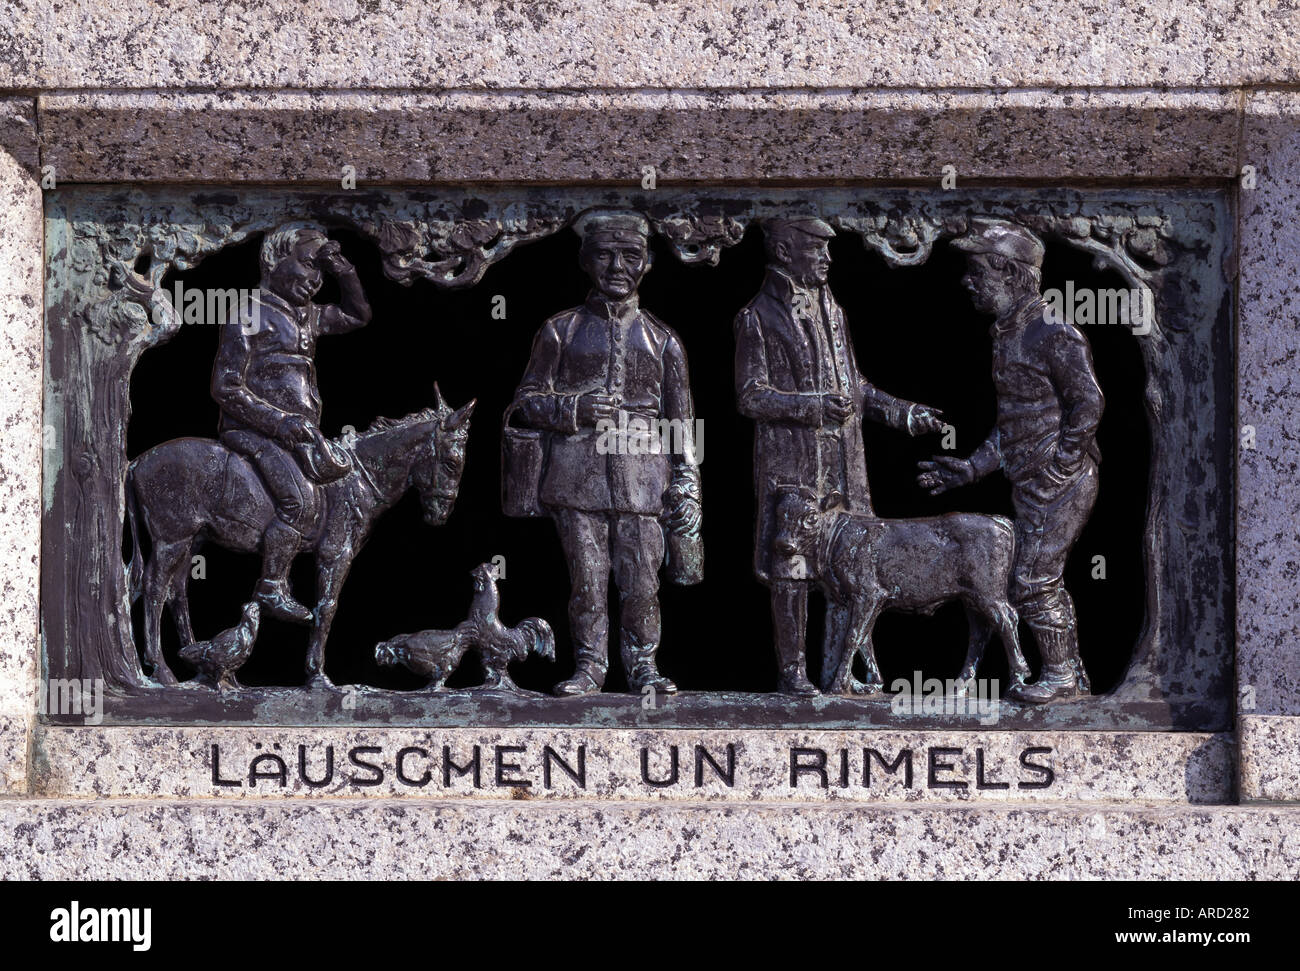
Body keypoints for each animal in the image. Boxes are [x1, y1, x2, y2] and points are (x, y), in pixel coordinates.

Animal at [769, 488, 1024, 696]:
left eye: (811, 517)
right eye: (780, 513)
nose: (783, 544)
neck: (837, 537)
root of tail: (1000, 521)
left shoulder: (868, 593)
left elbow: (852, 637)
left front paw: (837, 686)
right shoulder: (852, 598)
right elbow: (864, 640)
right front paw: (872, 683)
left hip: (989, 592)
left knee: (1007, 619)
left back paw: (1018, 678)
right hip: (971, 598)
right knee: (980, 633)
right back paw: (959, 686)